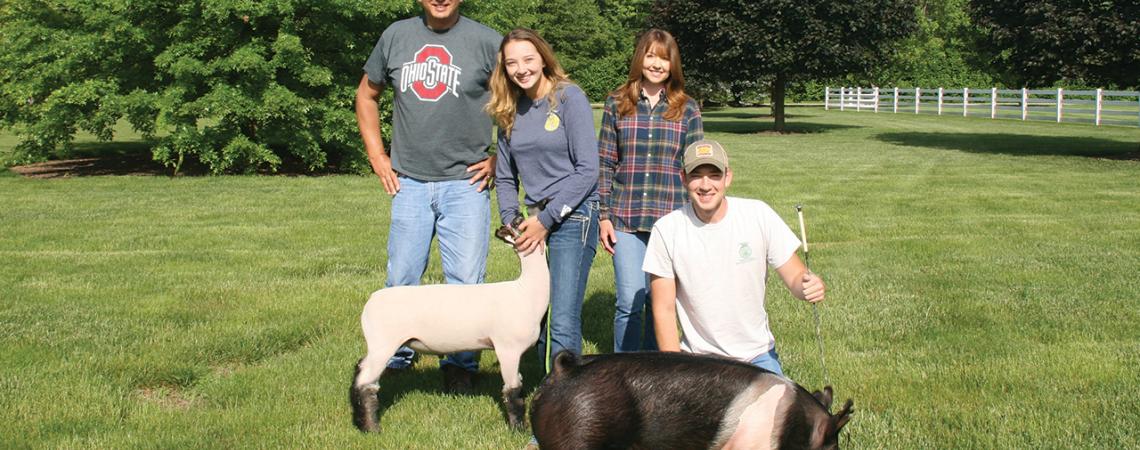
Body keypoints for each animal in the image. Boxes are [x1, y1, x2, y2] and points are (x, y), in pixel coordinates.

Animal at [348, 222, 549, 432]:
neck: (525, 291)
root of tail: (370, 302)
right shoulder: (508, 348)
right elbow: (513, 391)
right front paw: (518, 428)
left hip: (377, 345)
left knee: (360, 368)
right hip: (383, 344)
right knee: (365, 383)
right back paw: (371, 428)